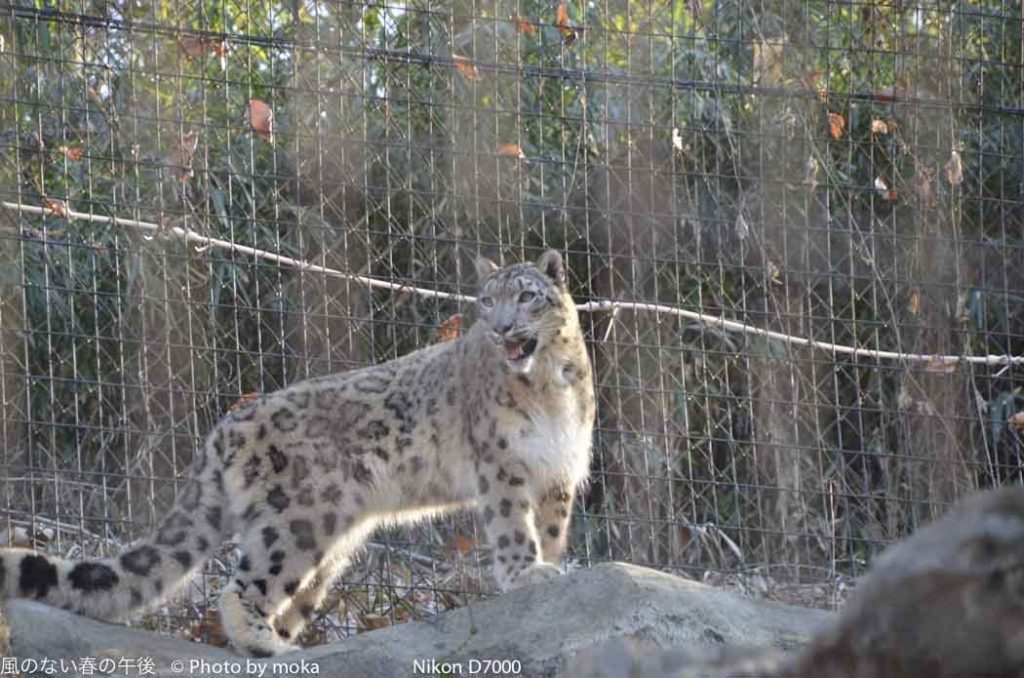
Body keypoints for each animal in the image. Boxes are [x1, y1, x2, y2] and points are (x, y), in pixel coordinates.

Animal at [0, 249, 596, 657]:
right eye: (485, 300)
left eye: (526, 296)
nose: (500, 328)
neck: (549, 385)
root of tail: (223, 429)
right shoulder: (502, 462)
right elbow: (512, 524)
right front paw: (527, 575)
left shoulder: (560, 469)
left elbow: (551, 527)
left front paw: (554, 568)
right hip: (298, 518)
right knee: (242, 585)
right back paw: (266, 646)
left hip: (329, 540)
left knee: (290, 592)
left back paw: (284, 641)